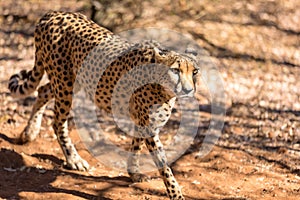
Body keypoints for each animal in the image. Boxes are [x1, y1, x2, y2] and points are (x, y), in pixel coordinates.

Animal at [8, 11, 200, 200]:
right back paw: (73, 159)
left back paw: (29, 132)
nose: (189, 90)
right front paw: (176, 195)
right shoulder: (149, 126)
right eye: (175, 70)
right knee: (57, 122)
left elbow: (136, 145)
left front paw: (134, 172)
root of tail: (51, 14)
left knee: (42, 90)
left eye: (195, 72)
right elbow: (164, 166)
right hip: (65, 85)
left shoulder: (142, 121)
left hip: (70, 82)